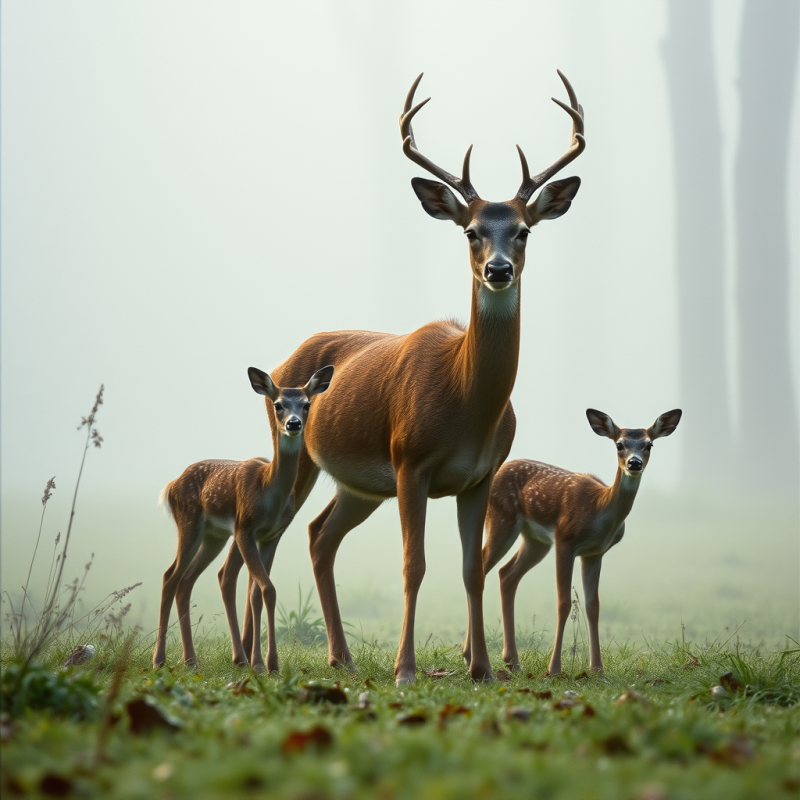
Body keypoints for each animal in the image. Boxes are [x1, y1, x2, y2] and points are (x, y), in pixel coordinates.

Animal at [152, 364, 334, 672]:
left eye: (307, 404)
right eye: (278, 404)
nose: (294, 424)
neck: (268, 491)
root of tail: (171, 486)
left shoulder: (273, 534)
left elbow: (259, 593)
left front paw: (269, 663)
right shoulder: (245, 528)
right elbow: (266, 588)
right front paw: (262, 663)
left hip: (215, 536)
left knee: (188, 580)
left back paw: (192, 659)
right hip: (190, 522)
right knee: (170, 576)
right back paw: (159, 659)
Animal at [236, 71, 586, 686]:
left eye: (523, 230)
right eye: (471, 231)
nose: (498, 269)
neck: (465, 403)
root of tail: (283, 362)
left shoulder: (480, 477)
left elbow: (470, 569)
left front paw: (482, 668)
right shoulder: (410, 462)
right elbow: (413, 565)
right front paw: (405, 670)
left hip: (357, 484)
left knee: (319, 537)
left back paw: (341, 655)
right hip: (299, 453)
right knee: (275, 536)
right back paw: (261, 659)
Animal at [477, 408, 682, 676]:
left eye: (649, 445)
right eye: (619, 444)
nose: (634, 463)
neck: (598, 510)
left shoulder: (594, 553)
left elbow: (593, 606)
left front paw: (597, 669)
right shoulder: (565, 539)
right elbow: (563, 602)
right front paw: (554, 669)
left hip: (536, 541)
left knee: (506, 574)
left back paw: (513, 661)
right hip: (501, 519)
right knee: (479, 569)